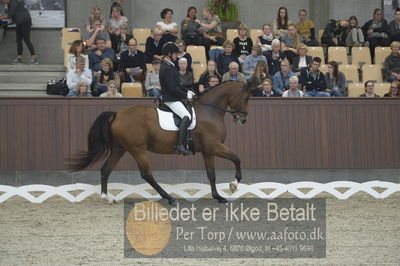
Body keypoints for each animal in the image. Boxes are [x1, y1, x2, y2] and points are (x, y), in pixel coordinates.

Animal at [69, 80, 253, 204]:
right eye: (246, 97)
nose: (243, 119)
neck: (210, 111)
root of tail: (118, 114)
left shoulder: (208, 151)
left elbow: (211, 175)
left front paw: (219, 197)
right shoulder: (214, 146)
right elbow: (237, 158)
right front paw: (233, 185)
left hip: (119, 148)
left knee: (106, 169)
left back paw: (106, 198)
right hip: (137, 149)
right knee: (146, 174)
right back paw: (169, 198)